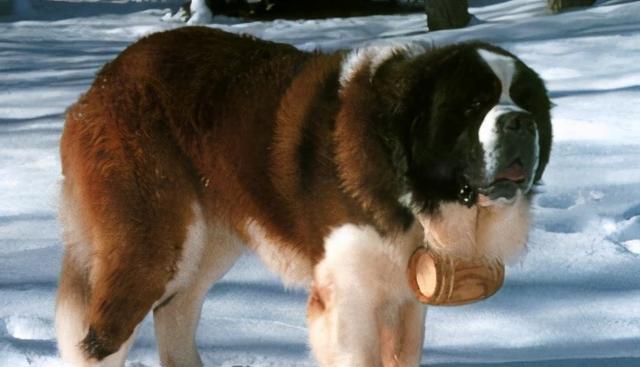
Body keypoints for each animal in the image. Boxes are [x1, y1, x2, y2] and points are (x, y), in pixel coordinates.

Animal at [55, 26, 552, 367]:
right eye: (472, 106)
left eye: (527, 102)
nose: (520, 122)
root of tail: (104, 80)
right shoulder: (348, 297)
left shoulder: (404, 299)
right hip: (153, 242)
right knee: (103, 338)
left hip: (205, 245)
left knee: (174, 312)